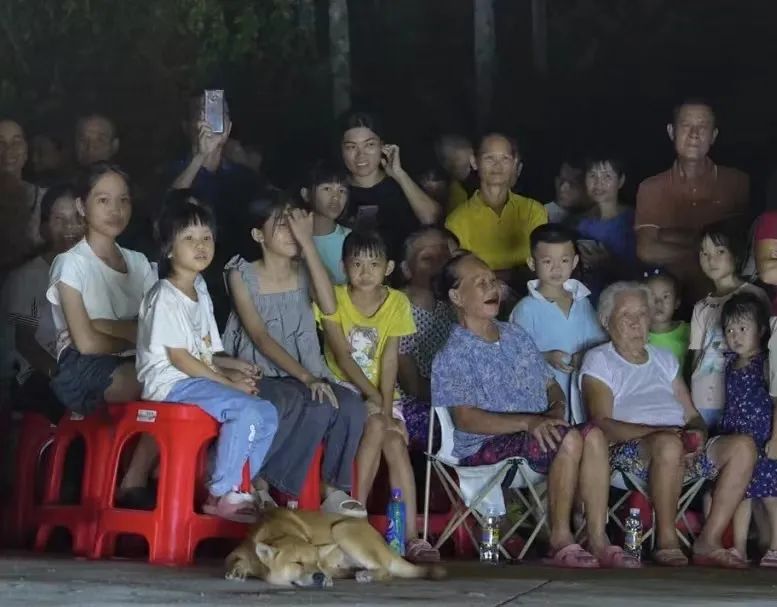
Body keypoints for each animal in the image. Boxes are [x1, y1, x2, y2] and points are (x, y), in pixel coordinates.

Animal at [224, 508, 446, 588]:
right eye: (297, 563)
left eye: (315, 563)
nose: (319, 576)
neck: (277, 529)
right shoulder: (234, 553)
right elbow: (236, 561)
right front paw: (238, 570)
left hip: (343, 528)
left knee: (385, 570)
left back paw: (364, 574)